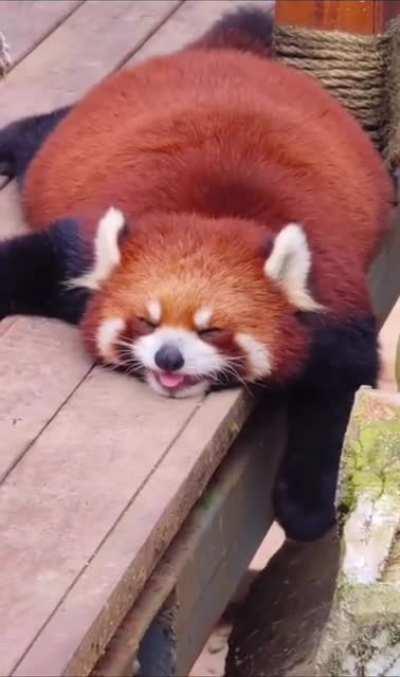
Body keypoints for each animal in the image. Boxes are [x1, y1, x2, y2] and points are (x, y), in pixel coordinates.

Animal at [0, 7, 394, 541]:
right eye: (145, 321)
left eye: (212, 330)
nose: (169, 357)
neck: (210, 218)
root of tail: (225, 55)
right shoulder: (78, 253)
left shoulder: (334, 293)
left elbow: (339, 399)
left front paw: (307, 505)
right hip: (64, 145)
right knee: (37, 136)